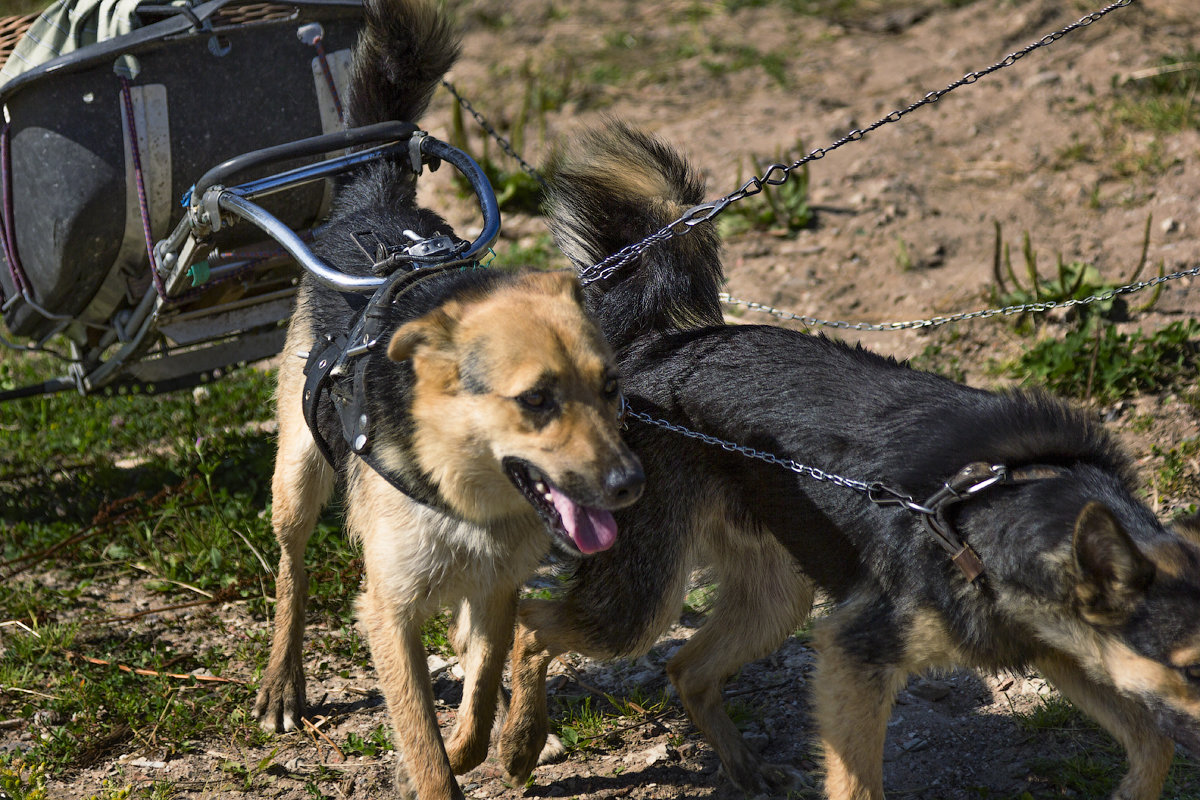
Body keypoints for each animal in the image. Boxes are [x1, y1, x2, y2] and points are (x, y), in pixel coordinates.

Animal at [253, 6, 643, 800]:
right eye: (536, 399)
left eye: (610, 387)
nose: (629, 484)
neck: (465, 492)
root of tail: (375, 204)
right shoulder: (388, 612)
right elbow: (423, 744)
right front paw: (442, 766)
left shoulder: (495, 589)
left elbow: (484, 681)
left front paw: (482, 741)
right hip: (298, 476)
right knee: (292, 570)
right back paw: (282, 679)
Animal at [494, 120, 1200, 800]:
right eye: (1191, 665)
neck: (1010, 493)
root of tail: (653, 349)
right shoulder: (855, 656)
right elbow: (859, 783)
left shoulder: (1059, 647)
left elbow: (1153, 744)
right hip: (640, 599)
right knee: (531, 624)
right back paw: (518, 745)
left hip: (775, 597)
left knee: (685, 667)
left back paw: (746, 770)